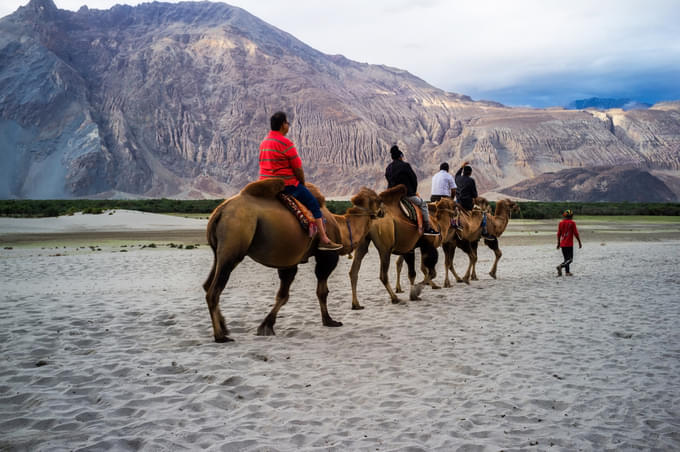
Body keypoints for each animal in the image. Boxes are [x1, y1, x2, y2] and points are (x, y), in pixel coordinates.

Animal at [201, 178, 382, 340]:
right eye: (378, 199)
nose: (382, 212)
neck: (341, 227)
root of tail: (220, 211)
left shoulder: (289, 260)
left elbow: (283, 294)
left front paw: (267, 326)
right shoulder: (326, 256)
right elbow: (322, 291)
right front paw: (329, 321)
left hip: (220, 251)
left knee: (207, 284)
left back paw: (224, 327)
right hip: (234, 241)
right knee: (214, 290)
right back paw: (220, 336)